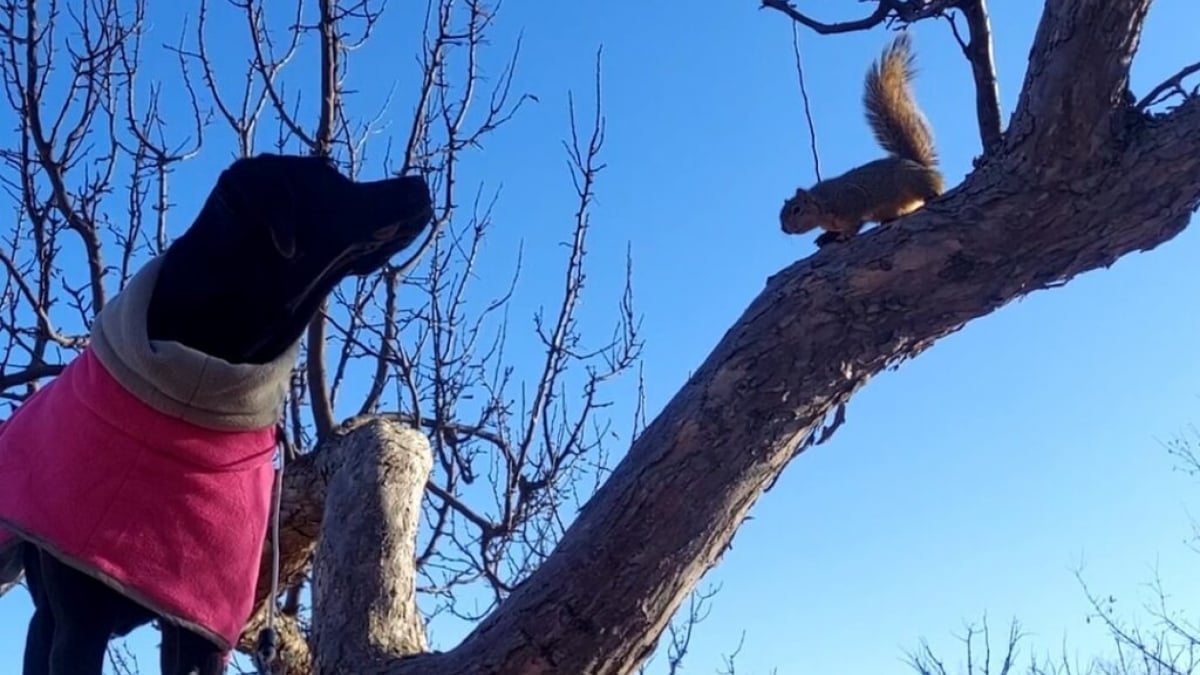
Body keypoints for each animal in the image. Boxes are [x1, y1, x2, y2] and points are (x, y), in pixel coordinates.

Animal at [777, 31, 945, 247]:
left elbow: (856, 221)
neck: (821, 204)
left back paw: (932, 194)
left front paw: (845, 234)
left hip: (911, 179)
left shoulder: (851, 199)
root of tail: (919, 164)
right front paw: (827, 236)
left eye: (796, 209)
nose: (784, 229)